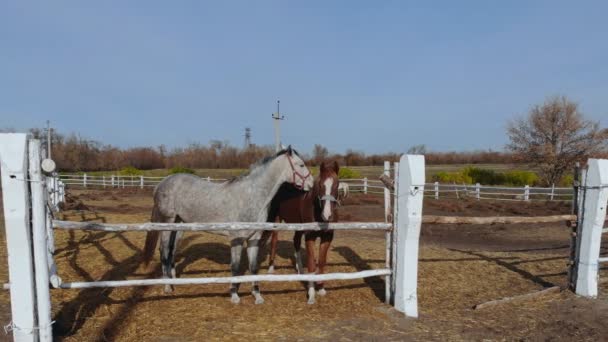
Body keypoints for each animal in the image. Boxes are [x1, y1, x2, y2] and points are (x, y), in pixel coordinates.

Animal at [142, 147, 314, 304]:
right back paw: (167, 287)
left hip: (179, 225)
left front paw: (257, 296)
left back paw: (174, 281)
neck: (251, 195)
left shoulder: (253, 238)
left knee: (172, 251)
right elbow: (235, 267)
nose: (312, 184)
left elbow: (253, 267)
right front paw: (234, 296)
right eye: (301, 165)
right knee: (164, 251)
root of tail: (161, 184)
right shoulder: (236, 238)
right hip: (168, 222)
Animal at [266, 159, 342, 304]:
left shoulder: (327, 237)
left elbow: (321, 262)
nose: (327, 215)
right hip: (276, 221)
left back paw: (300, 271)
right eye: (320, 184)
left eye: (337, 184)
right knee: (274, 241)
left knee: (295, 242)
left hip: (298, 227)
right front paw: (311, 295)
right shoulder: (310, 237)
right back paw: (271, 268)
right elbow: (312, 263)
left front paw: (321, 288)